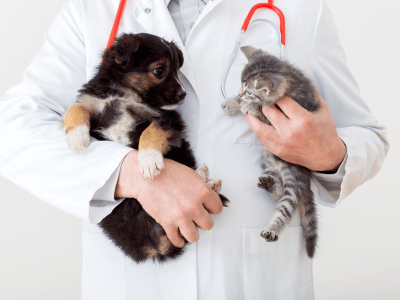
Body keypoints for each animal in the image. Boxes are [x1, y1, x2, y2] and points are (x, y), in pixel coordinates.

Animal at [61, 32, 227, 262]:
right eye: (159, 71)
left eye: (177, 70)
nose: (183, 95)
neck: (127, 94)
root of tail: (155, 247)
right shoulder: (94, 101)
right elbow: (77, 107)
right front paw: (76, 137)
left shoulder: (168, 120)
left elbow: (152, 130)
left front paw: (149, 160)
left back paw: (206, 180)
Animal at [223, 45, 320, 258]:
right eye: (241, 83)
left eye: (249, 91)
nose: (240, 94)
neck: (290, 78)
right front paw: (233, 103)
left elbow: (262, 111)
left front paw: (249, 106)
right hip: (268, 161)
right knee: (278, 190)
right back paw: (270, 184)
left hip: (294, 177)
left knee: (287, 203)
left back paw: (273, 229)